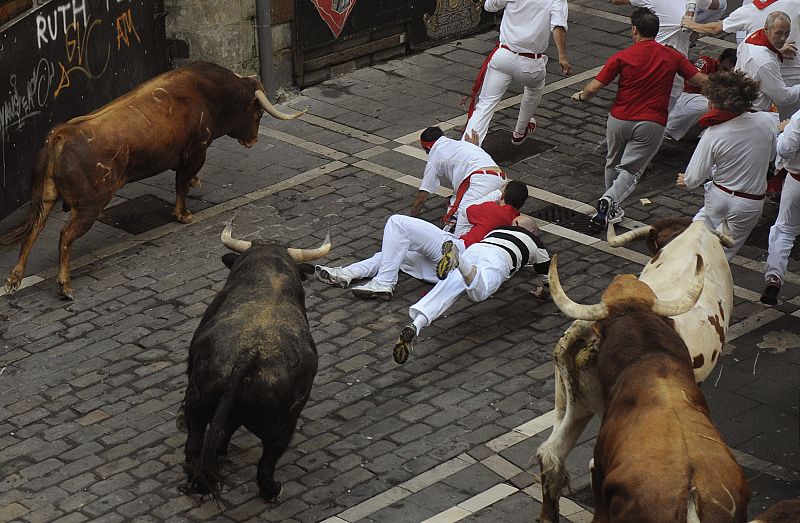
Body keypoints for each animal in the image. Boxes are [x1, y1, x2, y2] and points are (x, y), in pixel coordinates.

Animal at [0, 61, 304, 298]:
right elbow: (181, 183)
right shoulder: (195, 152)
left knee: (32, 231)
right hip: (89, 206)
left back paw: (14, 278)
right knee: (64, 236)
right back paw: (64, 285)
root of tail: (60, 135)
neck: (208, 91)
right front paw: (183, 215)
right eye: (258, 112)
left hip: (45, 197)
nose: (252, 141)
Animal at [180, 223, 330, 502]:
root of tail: (249, 354)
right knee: (264, 462)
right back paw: (271, 490)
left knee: (198, 446)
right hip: (283, 424)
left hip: (198, 403)